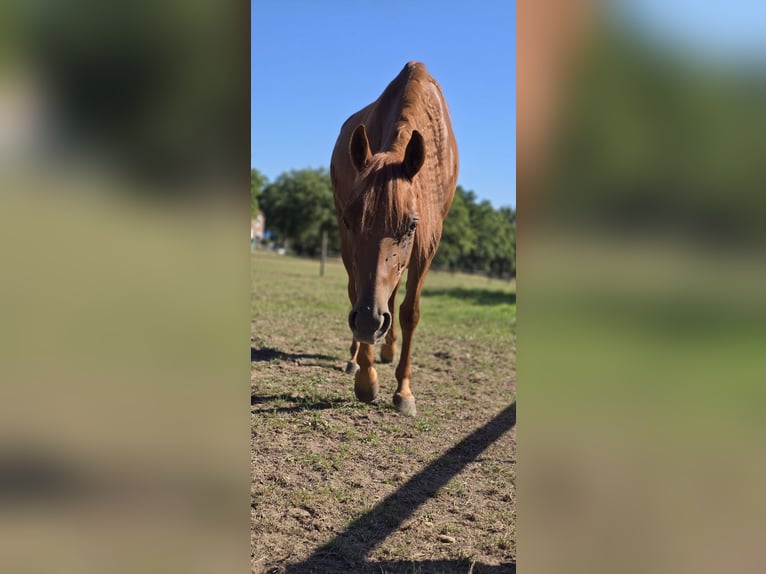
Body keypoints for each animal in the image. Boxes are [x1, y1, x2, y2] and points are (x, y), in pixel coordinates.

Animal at [330, 61, 459, 416]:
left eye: (411, 225)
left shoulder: (427, 245)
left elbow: (408, 311)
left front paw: (404, 391)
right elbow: (358, 294)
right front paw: (366, 378)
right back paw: (355, 358)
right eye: (350, 220)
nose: (369, 321)